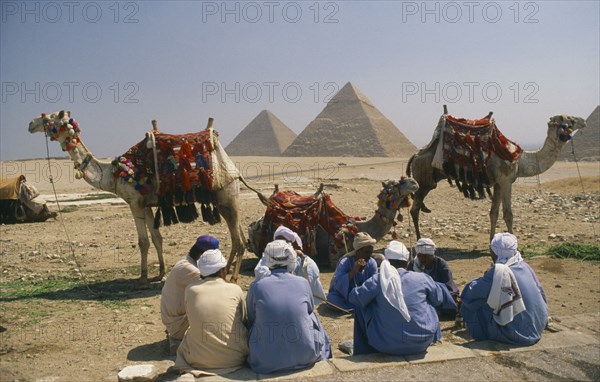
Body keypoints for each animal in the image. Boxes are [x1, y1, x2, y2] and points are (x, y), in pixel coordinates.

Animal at [27, 110, 248, 286]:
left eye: (52, 117)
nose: (30, 123)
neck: (115, 173)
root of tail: (235, 171)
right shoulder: (147, 205)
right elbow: (157, 238)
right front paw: (160, 273)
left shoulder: (134, 203)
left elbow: (143, 241)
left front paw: (142, 278)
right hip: (225, 202)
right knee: (239, 237)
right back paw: (224, 272)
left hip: (228, 196)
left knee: (238, 240)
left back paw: (233, 277)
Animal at [406, 106, 584, 239]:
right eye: (569, 119)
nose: (583, 121)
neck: (520, 159)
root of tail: (415, 155)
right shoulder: (506, 181)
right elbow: (508, 215)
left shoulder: (498, 183)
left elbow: (494, 213)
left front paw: (492, 241)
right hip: (424, 182)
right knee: (414, 209)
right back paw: (419, 240)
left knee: (416, 208)